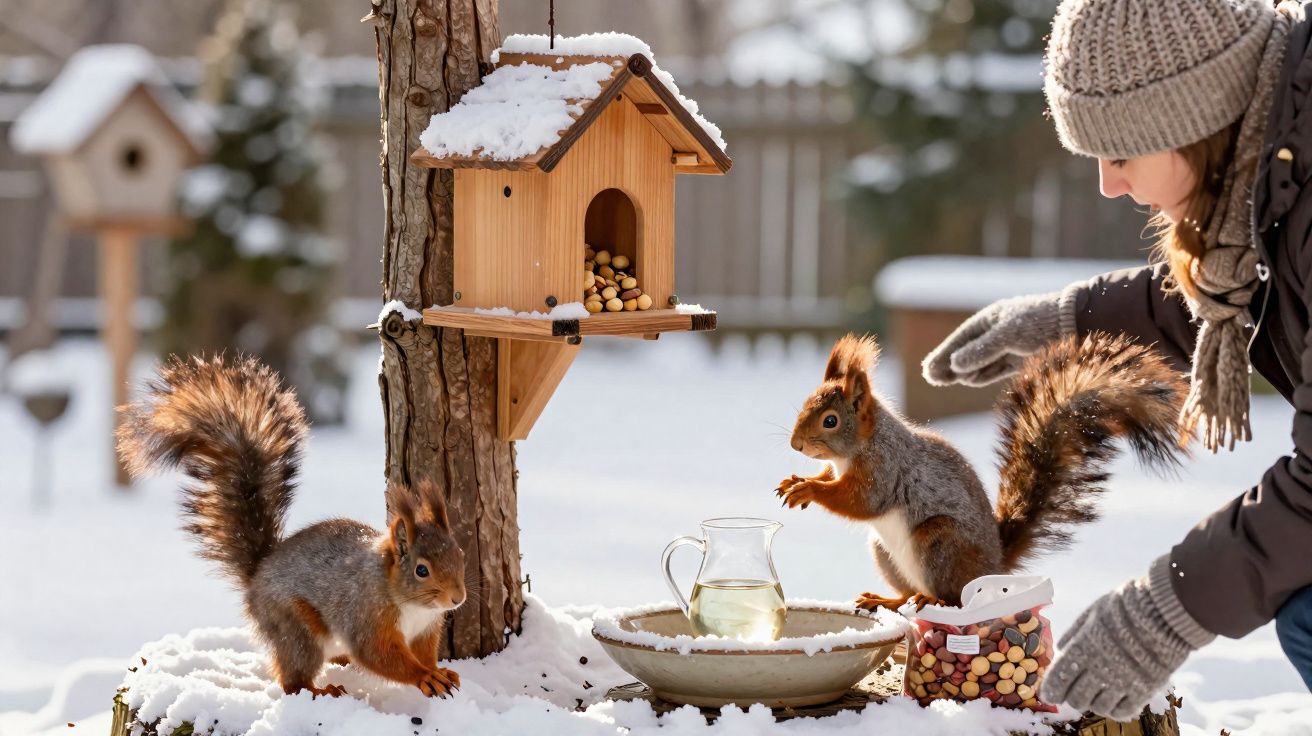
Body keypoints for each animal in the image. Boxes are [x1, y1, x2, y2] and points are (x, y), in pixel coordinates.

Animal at [116, 356, 467, 699]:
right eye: (421, 570)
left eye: (460, 556)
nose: (457, 599)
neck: (412, 603)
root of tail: (257, 577)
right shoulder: (367, 616)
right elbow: (377, 654)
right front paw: (424, 677)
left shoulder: (425, 628)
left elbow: (423, 653)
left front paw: (438, 670)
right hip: (294, 626)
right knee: (293, 679)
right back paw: (322, 690)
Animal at [777, 331, 1189, 611]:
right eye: (805, 405)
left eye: (830, 420)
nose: (795, 445)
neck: (858, 448)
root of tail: (994, 566)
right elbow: (831, 480)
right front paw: (798, 481)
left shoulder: (884, 468)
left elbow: (861, 501)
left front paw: (808, 490)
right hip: (885, 552)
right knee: (907, 591)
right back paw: (887, 600)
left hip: (938, 542)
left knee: (951, 597)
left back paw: (933, 601)